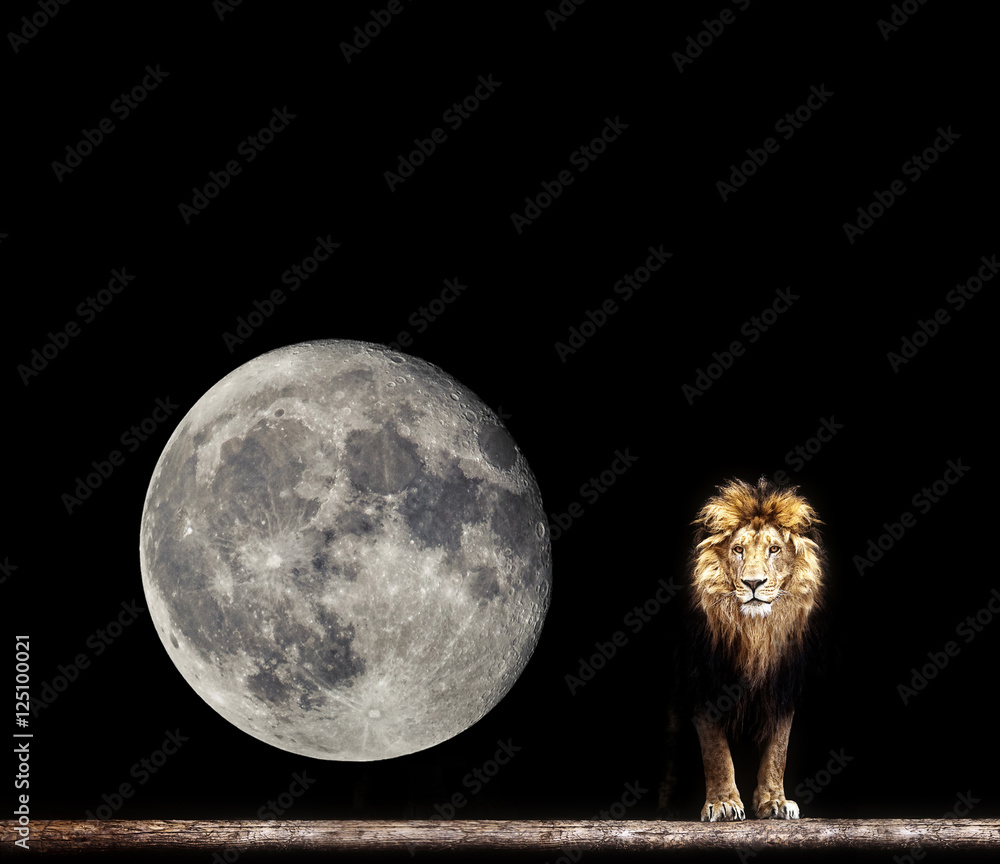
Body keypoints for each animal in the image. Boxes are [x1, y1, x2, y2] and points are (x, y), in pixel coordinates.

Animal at [681, 477, 826, 821]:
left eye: (774, 549)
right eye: (738, 550)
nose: (753, 583)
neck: (754, 633)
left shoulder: (783, 685)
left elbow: (778, 749)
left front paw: (774, 801)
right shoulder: (704, 681)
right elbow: (716, 751)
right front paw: (723, 803)